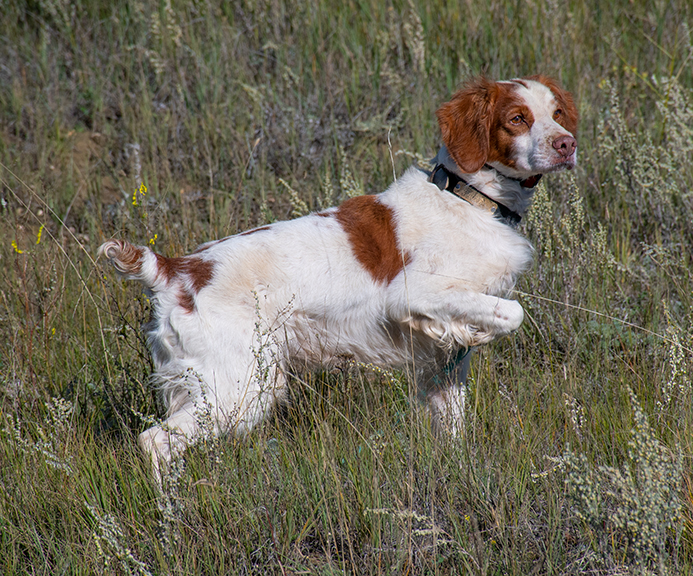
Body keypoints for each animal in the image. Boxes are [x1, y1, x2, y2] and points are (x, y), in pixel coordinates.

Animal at [100, 75, 577, 476]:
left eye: (556, 113)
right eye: (517, 119)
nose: (567, 144)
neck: (470, 198)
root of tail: (174, 269)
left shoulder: (446, 365)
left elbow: (453, 423)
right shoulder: (414, 295)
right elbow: (512, 312)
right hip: (239, 389)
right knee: (153, 442)